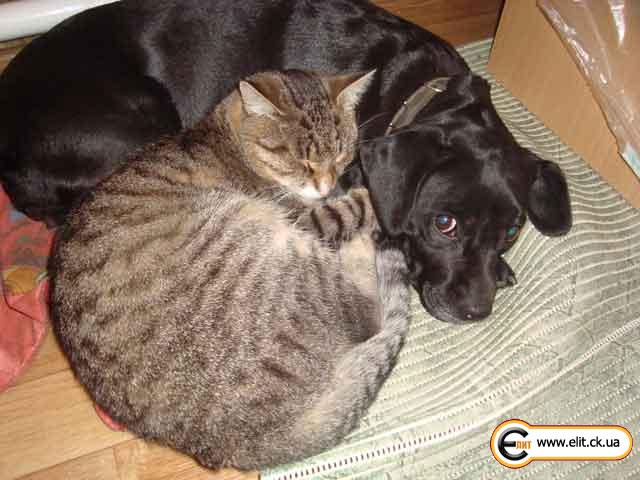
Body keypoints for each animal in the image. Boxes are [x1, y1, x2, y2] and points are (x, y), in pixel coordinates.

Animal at [50, 69, 411, 470]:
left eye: (343, 152)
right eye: (300, 161)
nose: (327, 184)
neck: (229, 139)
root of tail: (240, 442)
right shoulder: (306, 218)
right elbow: (347, 208)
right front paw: (371, 194)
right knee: (364, 311)